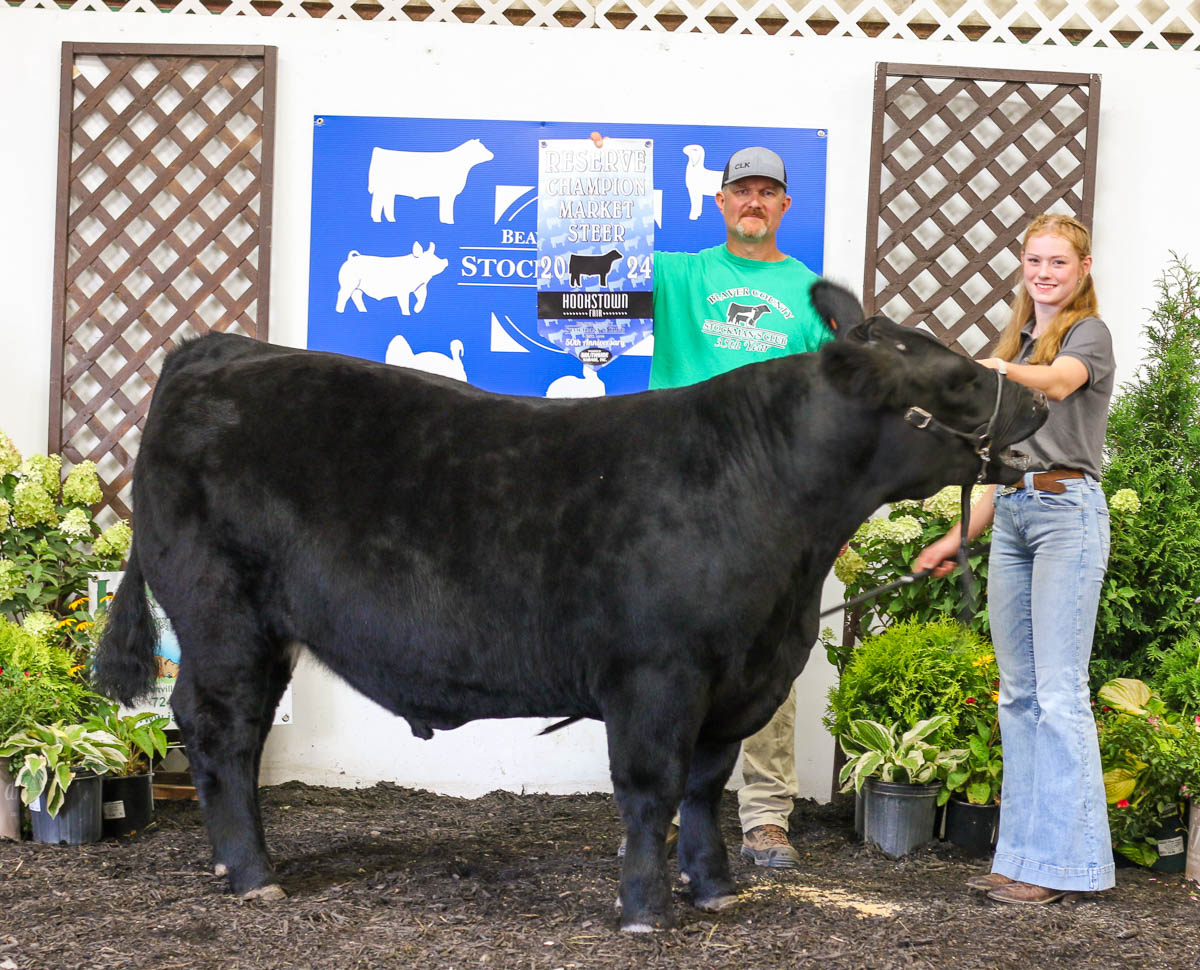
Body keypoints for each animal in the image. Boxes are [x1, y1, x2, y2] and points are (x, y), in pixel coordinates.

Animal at [92, 282, 1047, 933]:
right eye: (958, 379)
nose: (1038, 400)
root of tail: (219, 351)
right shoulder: (657, 674)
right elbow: (651, 789)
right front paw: (644, 910)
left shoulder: (737, 680)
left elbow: (704, 787)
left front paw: (714, 888)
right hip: (224, 615)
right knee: (222, 729)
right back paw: (252, 873)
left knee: (233, 734)